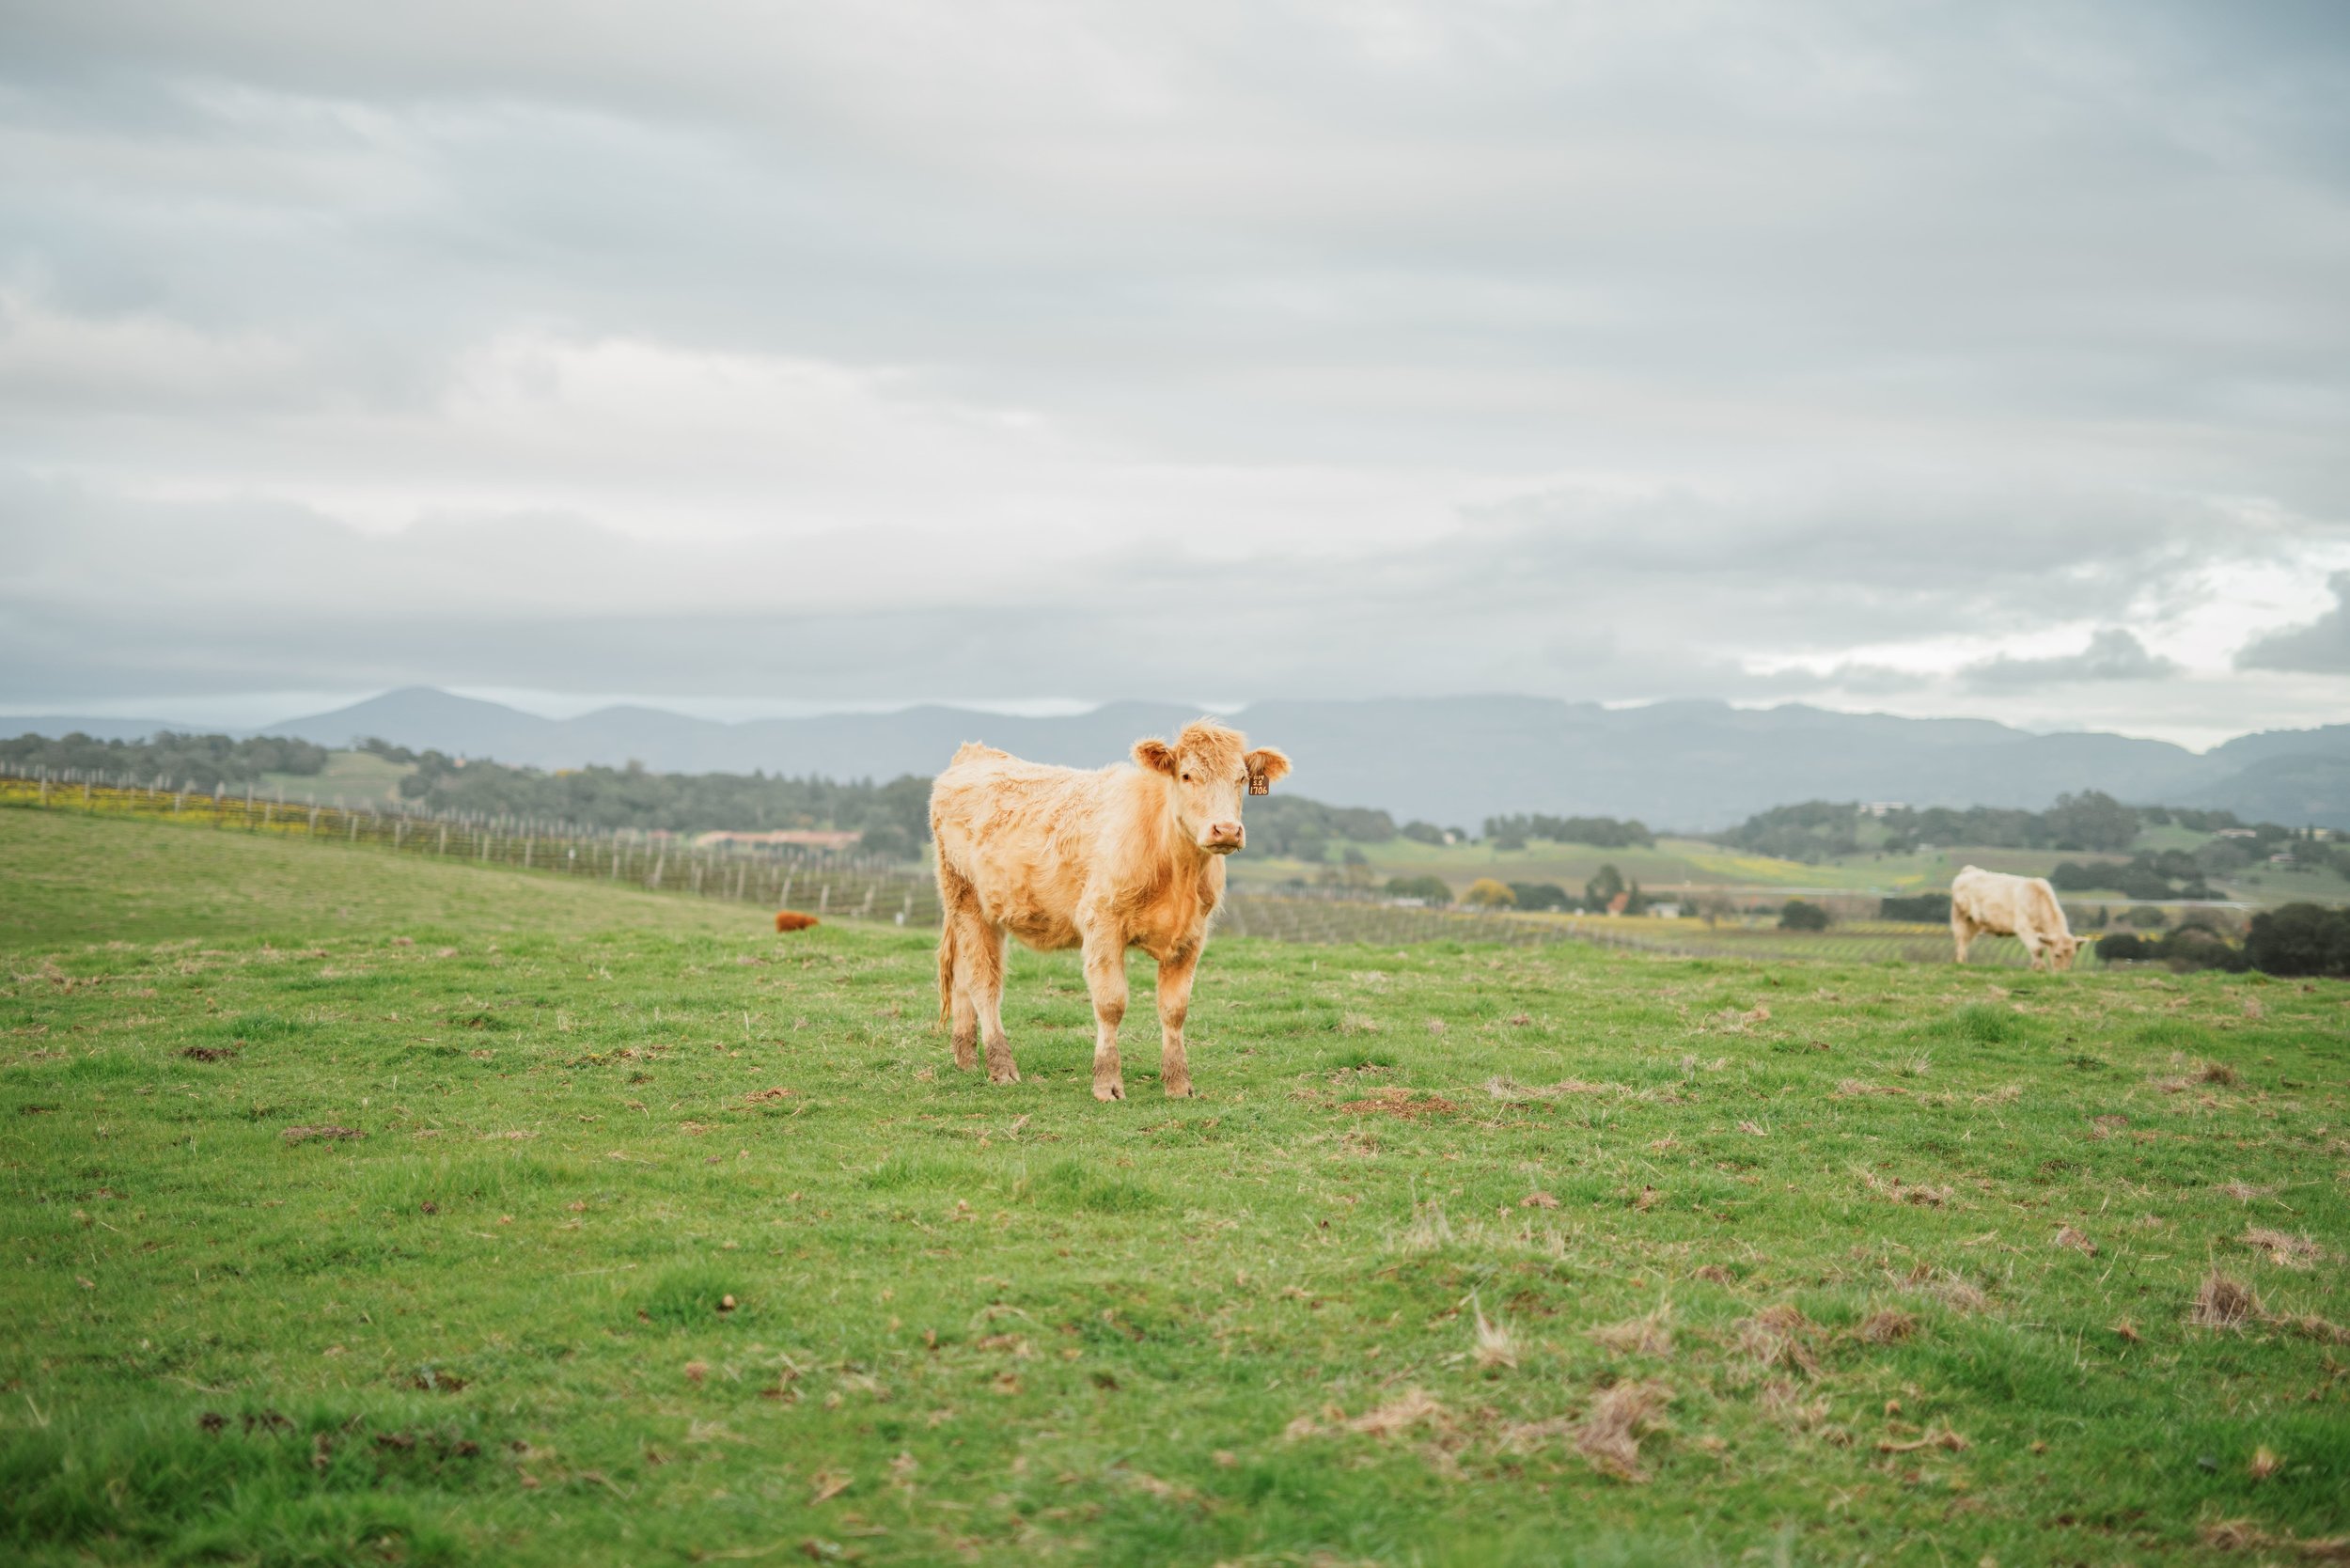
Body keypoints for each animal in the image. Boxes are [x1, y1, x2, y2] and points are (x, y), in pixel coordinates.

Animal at [926, 719, 1297, 1105]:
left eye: (1241, 778)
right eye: (1187, 775)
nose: (1225, 829)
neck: (1176, 871)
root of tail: (975, 754)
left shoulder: (1192, 937)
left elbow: (1175, 1010)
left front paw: (1178, 1083)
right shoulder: (1102, 923)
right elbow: (1111, 1004)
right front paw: (1107, 1083)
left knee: (964, 976)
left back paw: (966, 1058)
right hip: (966, 900)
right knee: (984, 983)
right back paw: (1001, 1066)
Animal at [1955, 865, 2087, 973]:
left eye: (2073, 955)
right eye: (2057, 955)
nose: (2063, 973)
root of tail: (1970, 870)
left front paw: (2035, 967)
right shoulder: (2023, 927)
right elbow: (2037, 949)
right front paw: (2039, 968)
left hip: (1974, 923)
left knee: (1967, 940)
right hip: (1961, 916)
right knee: (1962, 938)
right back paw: (1960, 962)